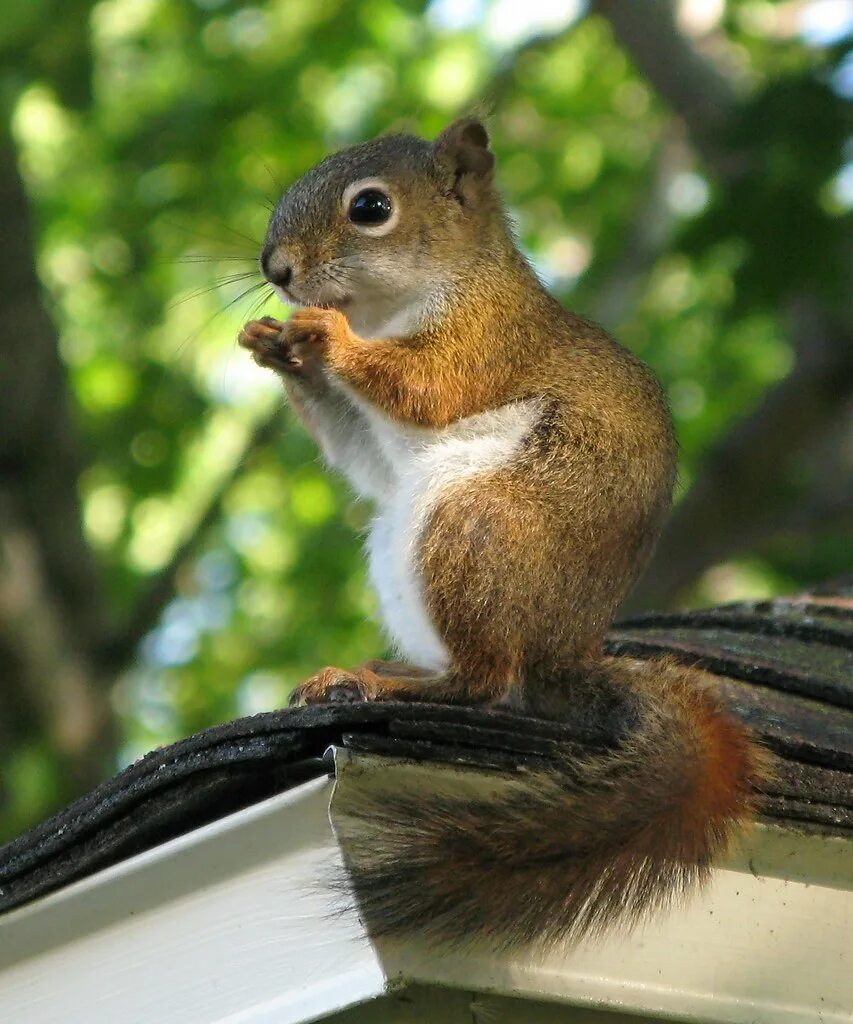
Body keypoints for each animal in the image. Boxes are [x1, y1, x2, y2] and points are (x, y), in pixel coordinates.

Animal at [236, 116, 770, 946]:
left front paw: (325, 337)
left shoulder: (484, 340)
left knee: (489, 684)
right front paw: (275, 348)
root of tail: (562, 653)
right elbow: (363, 457)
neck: (393, 305)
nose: (276, 268)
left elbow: (426, 388)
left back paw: (386, 683)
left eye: (370, 208)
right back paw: (379, 672)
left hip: (473, 530)